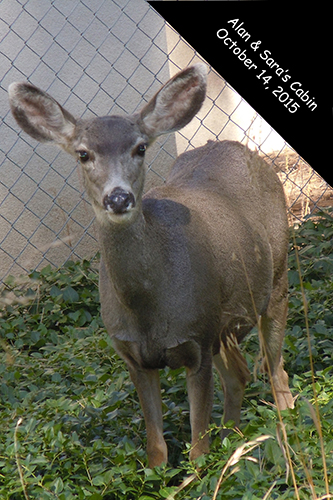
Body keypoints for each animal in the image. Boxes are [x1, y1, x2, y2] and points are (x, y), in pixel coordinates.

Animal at [8, 64, 294, 466]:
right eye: (83, 153)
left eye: (140, 147)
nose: (118, 197)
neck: (148, 311)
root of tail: (239, 148)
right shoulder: (133, 355)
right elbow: (156, 447)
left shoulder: (197, 338)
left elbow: (198, 447)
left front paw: (202, 468)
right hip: (223, 321)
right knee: (240, 375)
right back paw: (234, 441)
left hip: (278, 274)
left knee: (276, 368)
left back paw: (283, 424)